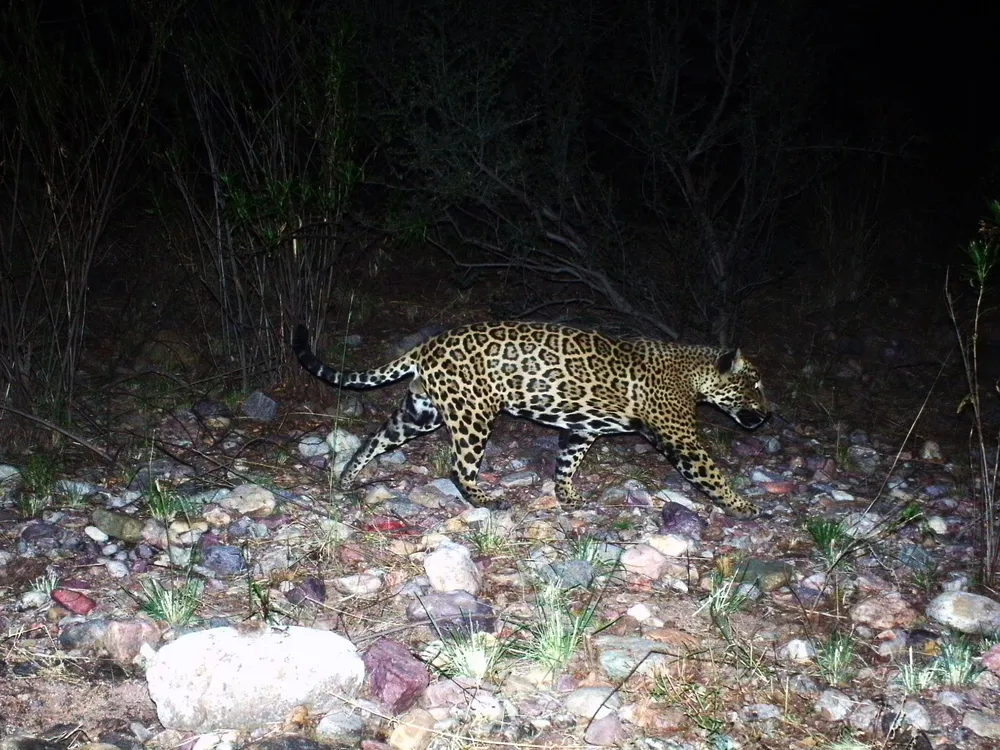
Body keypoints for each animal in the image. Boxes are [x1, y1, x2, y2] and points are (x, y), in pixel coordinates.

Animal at [292, 322, 770, 518]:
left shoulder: (581, 429)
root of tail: (428, 345)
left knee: (375, 439)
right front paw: (745, 507)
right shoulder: (681, 438)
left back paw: (348, 477)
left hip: (421, 413)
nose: (768, 415)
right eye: (756, 385)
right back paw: (484, 499)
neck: (694, 373)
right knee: (459, 466)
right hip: (473, 414)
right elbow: (713, 474)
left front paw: (568, 497)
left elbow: (566, 464)